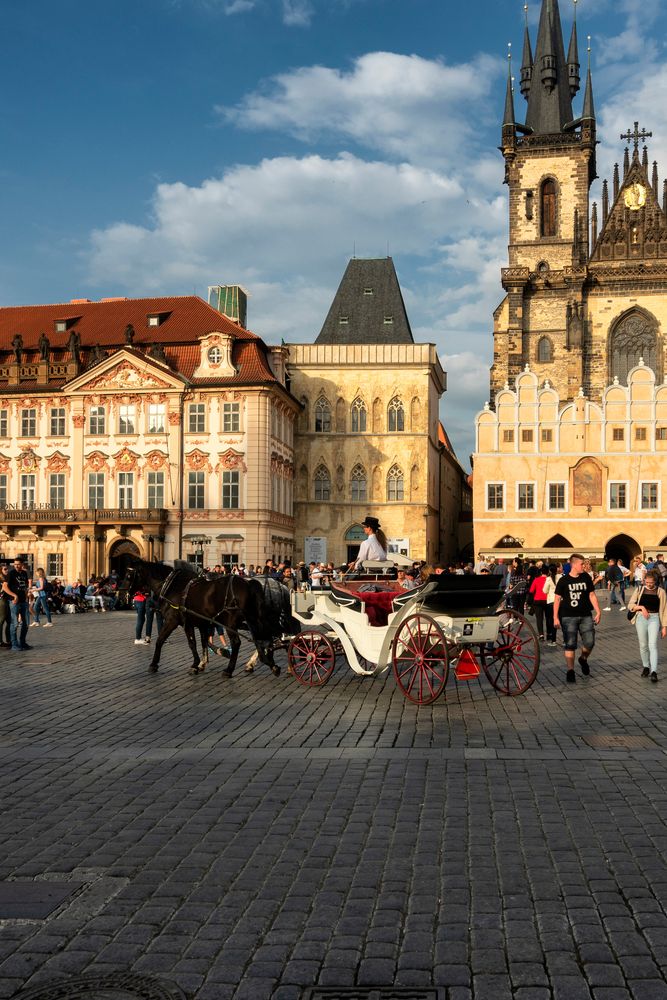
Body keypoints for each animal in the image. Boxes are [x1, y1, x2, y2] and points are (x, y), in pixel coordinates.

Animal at [122, 560, 280, 676]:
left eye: (129, 576)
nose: (124, 593)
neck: (171, 586)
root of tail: (249, 583)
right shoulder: (202, 623)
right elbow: (204, 642)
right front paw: (203, 662)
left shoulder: (176, 621)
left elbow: (168, 641)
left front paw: (155, 664)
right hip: (251, 619)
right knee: (264, 637)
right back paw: (268, 663)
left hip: (232, 623)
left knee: (238, 643)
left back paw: (230, 670)